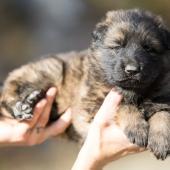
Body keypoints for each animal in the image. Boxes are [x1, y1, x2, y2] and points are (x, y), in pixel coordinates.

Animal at [0, 8, 170, 159]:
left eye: (148, 48)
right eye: (117, 46)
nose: (132, 70)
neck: (136, 92)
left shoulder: (162, 98)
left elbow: (163, 114)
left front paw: (161, 140)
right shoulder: (90, 106)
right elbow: (124, 105)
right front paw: (137, 128)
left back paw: (32, 98)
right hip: (53, 68)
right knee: (7, 92)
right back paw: (21, 106)